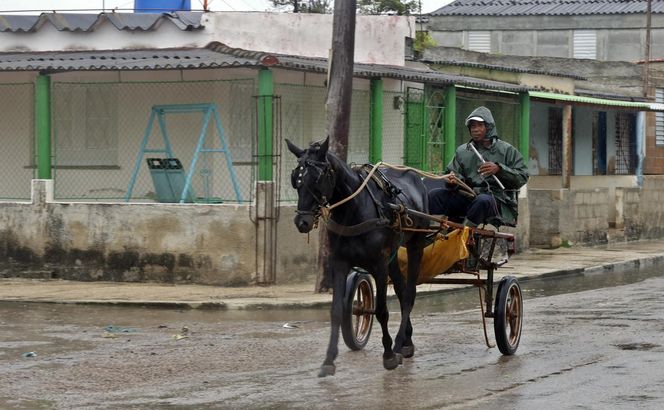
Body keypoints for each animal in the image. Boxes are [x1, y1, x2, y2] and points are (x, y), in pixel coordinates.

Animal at [284, 136, 428, 376]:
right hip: (392, 255)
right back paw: (406, 342)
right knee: (400, 289)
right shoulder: (340, 263)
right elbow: (336, 311)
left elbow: (381, 310)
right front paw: (328, 360)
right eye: (296, 179)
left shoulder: (379, 264)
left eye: (317, 178)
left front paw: (388, 355)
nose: (302, 222)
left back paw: (399, 343)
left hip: (415, 245)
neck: (355, 209)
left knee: (408, 294)